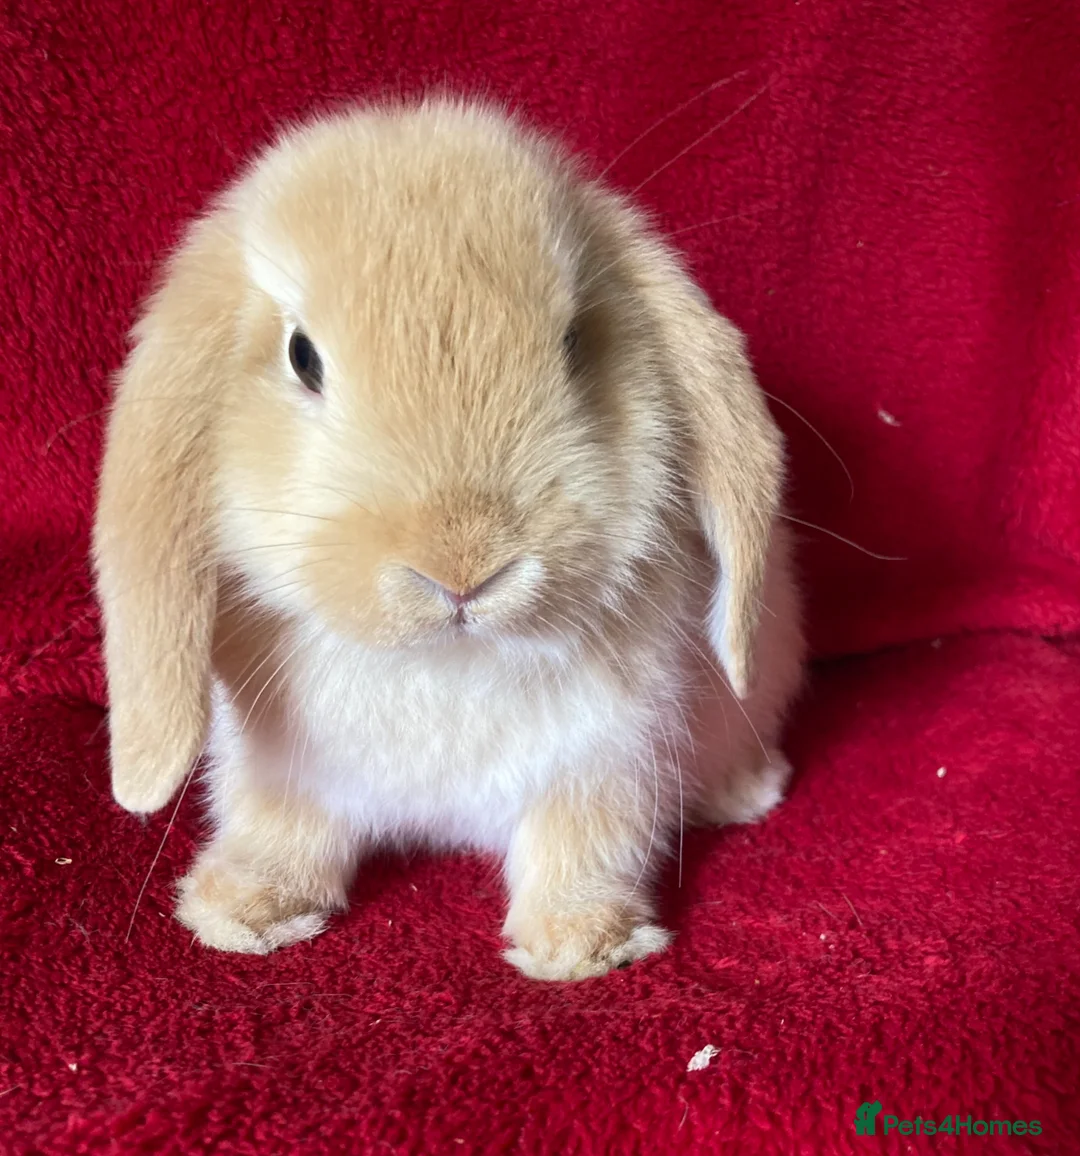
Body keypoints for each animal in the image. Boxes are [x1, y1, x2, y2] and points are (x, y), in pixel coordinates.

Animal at [93, 97, 805, 980]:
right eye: (302, 355)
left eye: (576, 342)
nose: (463, 567)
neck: (445, 656)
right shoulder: (277, 763)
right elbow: (280, 826)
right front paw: (242, 915)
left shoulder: (608, 756)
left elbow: (582, 842)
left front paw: (581, 945)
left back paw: (742, 792)